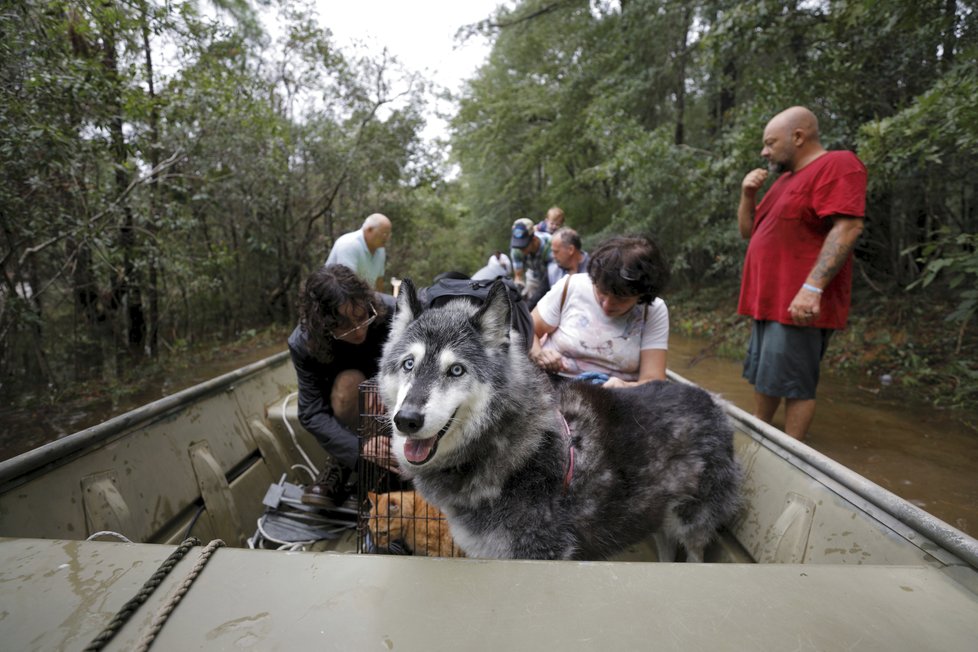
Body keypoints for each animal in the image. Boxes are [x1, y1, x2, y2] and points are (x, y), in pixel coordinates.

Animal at [376, 280, 740, 560]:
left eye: (455, 370)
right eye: (409, 364)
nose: (406, 420)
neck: (512, 447)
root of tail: (713, 400)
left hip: (691, 526)